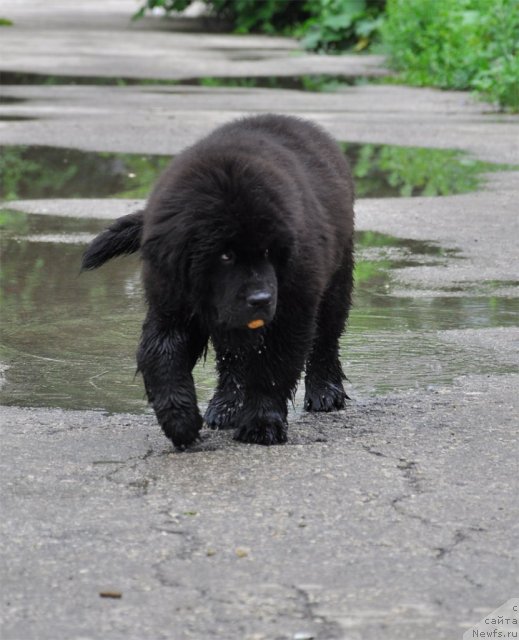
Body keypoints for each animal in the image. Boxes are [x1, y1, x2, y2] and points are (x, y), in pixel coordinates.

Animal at [83, 114, 356, 444]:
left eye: (269, 252)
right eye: (225, 256)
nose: (261, 299)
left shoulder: (292, 303)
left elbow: (273, 366)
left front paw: (262, 424)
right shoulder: (172, 300)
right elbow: (162, 355)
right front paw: (180, 421)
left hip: (336, 276)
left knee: (326, 337)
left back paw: (325, 391)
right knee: (232, 358)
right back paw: (226, 406)